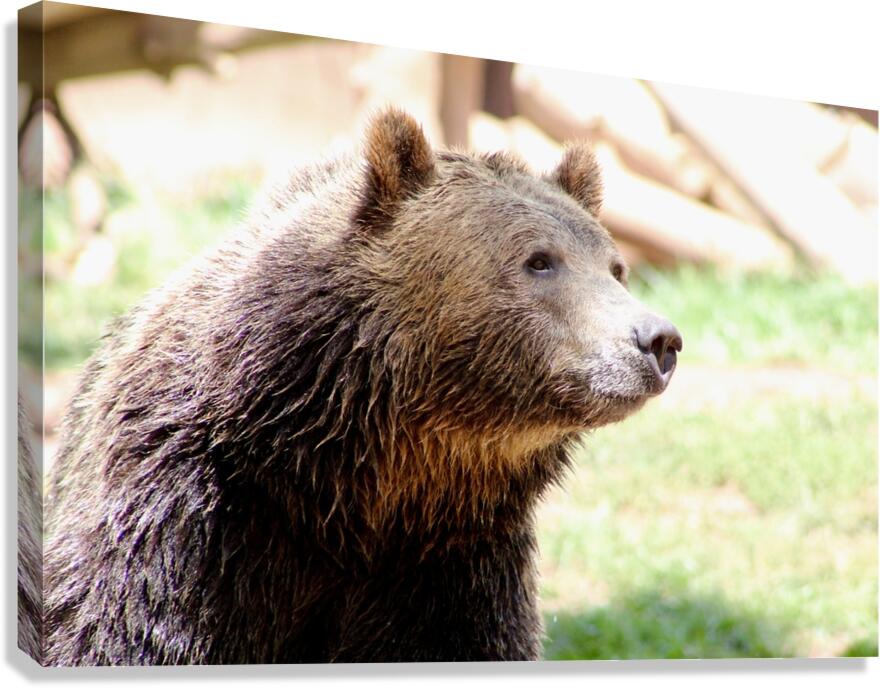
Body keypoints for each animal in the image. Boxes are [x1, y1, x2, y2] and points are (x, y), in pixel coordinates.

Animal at [42, 108, 681, 665]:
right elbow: (124, 630)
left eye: (615, 268)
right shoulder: (185, 525)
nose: (659, 340)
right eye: (540, 260)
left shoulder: (452, 564)